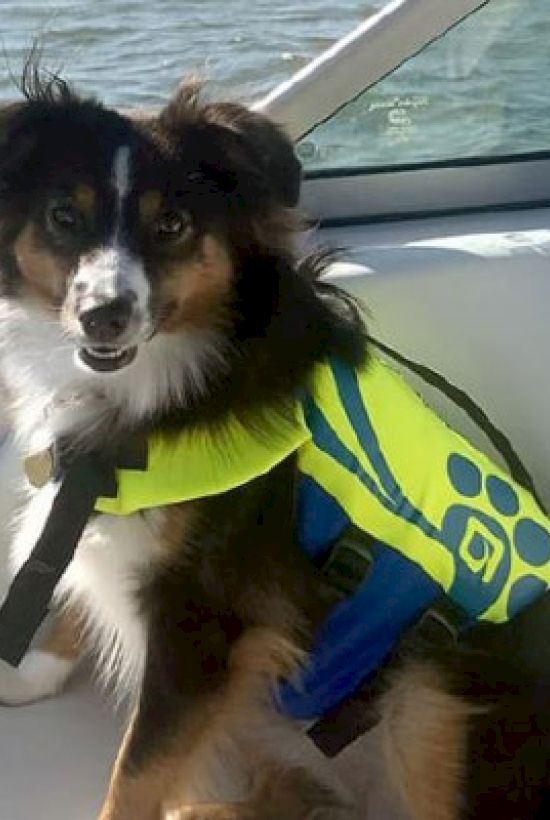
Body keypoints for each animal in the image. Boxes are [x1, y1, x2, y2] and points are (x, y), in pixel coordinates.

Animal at [0, 60, 550, 816]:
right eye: (64, 216)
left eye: (172, 224)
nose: (103, 316)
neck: (180, 379)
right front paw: (28, 673)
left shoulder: (207, 621)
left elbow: (137, 774)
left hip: (429, 700)